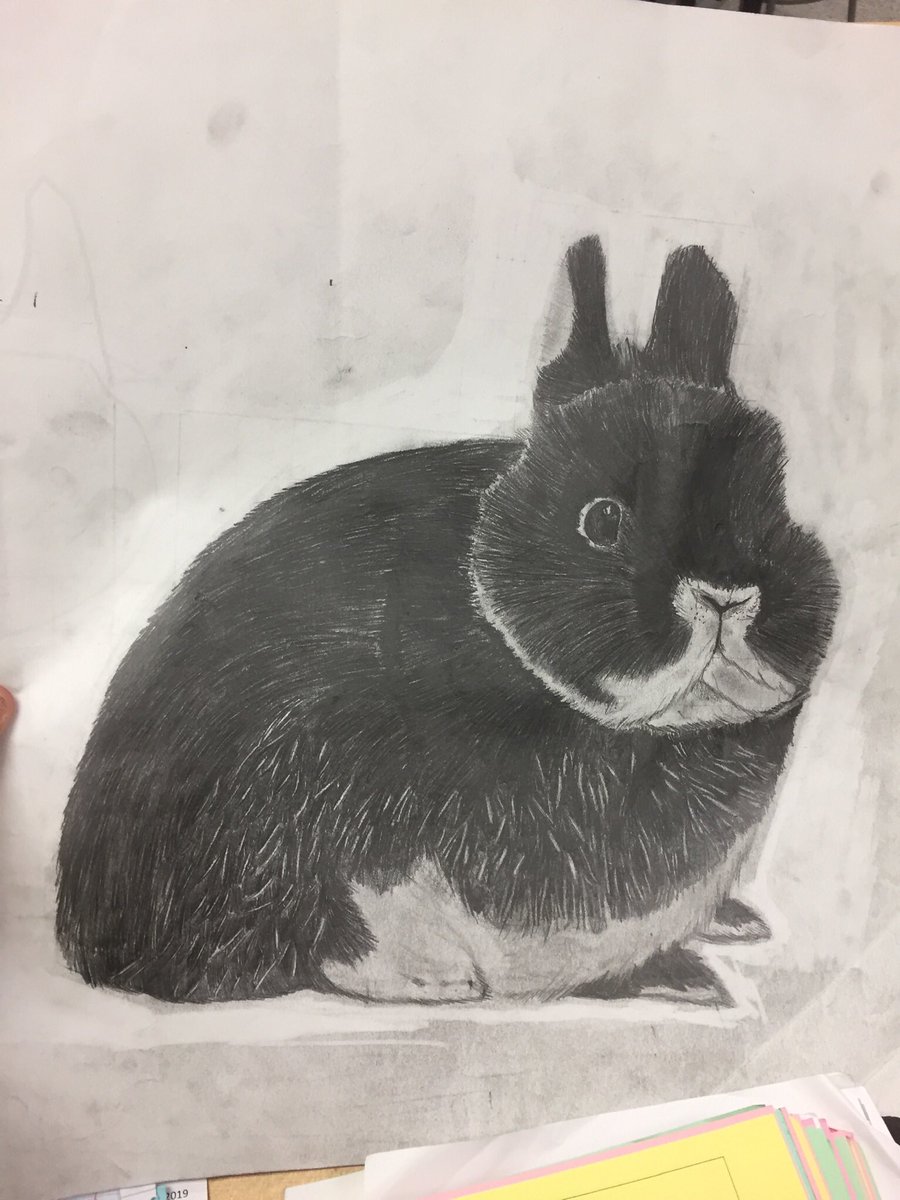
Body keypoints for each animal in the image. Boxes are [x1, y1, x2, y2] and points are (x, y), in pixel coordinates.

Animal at [56, 236, 839, 1007]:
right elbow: (350, 921)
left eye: (773, 509)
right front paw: (432, 980)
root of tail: (80, 924)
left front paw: (684, 969)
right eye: (603, 520)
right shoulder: (318, 796)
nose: (726, 594)